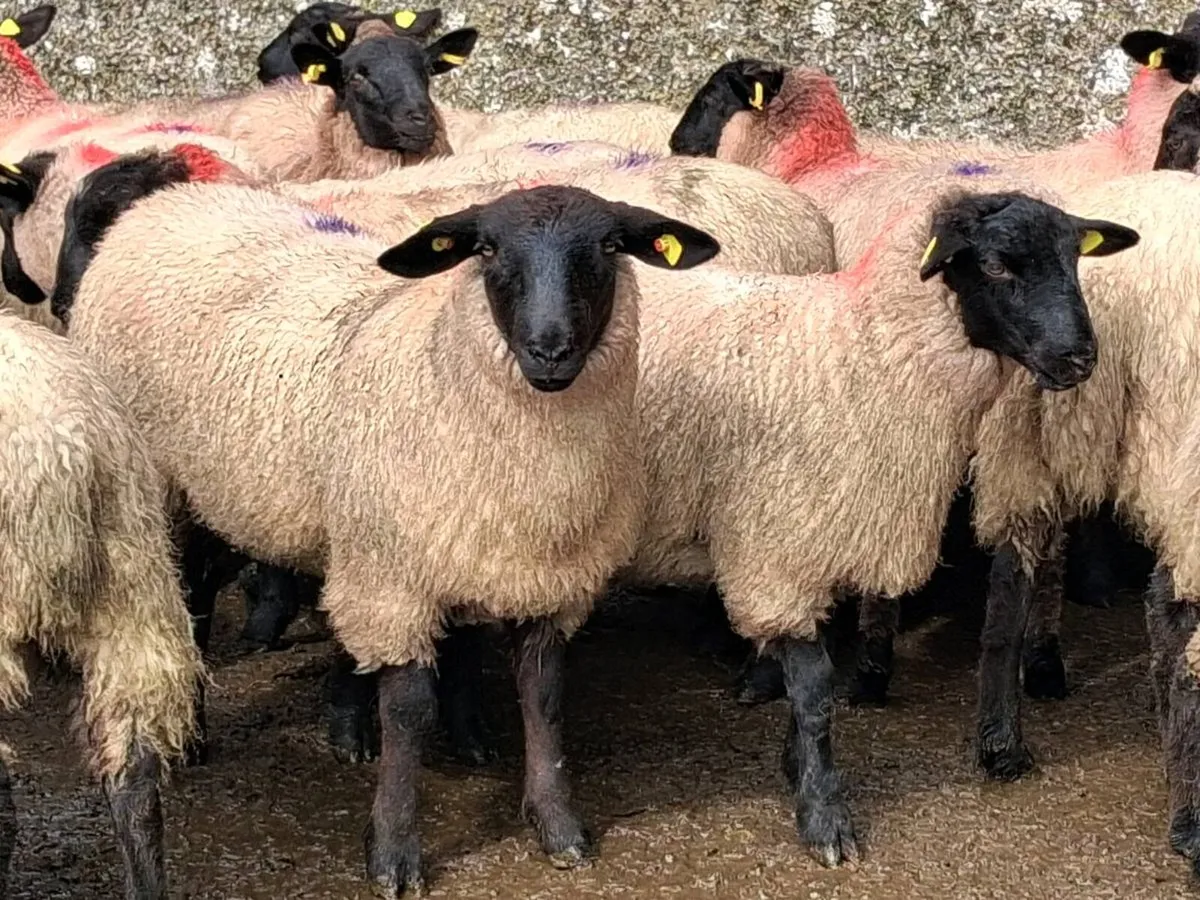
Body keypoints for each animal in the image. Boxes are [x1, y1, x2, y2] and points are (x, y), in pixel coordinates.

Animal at [55, 171, 721, 892]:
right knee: (193, 596)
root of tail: (166, 203)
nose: (550, 349)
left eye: (606, 246)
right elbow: (407, 712)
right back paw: (196, 732)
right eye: (487, 249)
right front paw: (394, 852)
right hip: (166, 486)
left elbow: (542, 698)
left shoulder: (540, 574)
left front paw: (557, 825)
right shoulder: (396, 580)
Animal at [614, 173, 1137, 867]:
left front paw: (796, 769)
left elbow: (809, 687)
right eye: (997, 265)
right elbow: (813, 695)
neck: (862, 353)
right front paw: (825, 817)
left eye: (1075, 259)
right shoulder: (781, 546)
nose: (1079, 359)